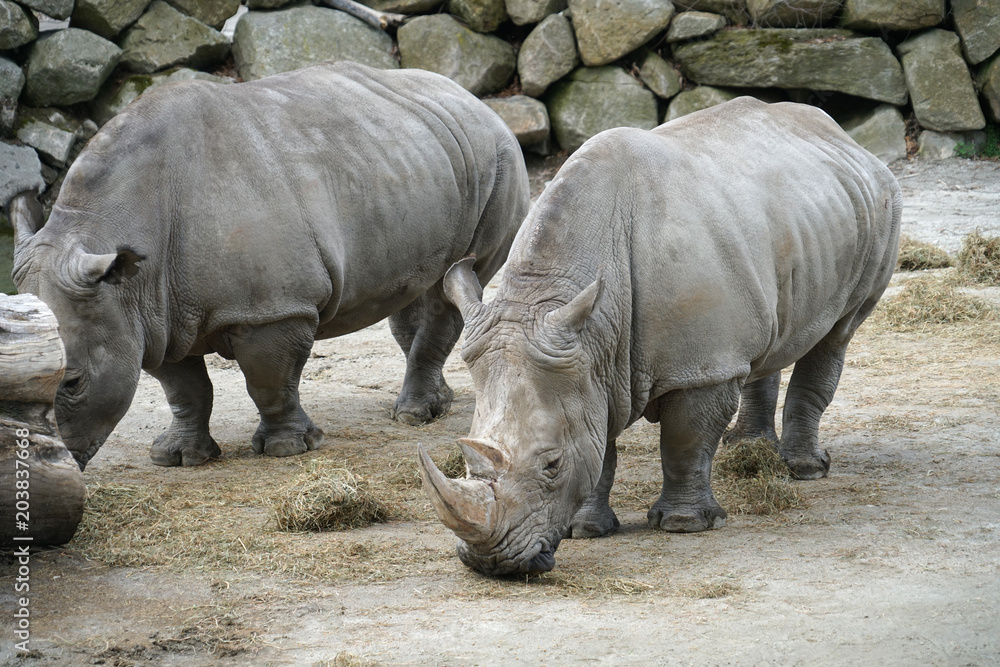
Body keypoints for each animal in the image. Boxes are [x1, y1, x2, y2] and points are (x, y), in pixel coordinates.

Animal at [7, 62, 529, 469]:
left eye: (73, 383)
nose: (48, 461)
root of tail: (476, 100)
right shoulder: (151, 312)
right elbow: (183, 389)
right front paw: (179, 457)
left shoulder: (273, 309)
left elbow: (269, 380)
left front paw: (289, 448)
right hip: (423, 155)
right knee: (419, 287)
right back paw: (437, 403)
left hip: (499, 158)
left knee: (454, 282)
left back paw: (413, 416)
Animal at [418, 97, 902, 576]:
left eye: (552, 464)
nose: (491, 564)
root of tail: (840, 136)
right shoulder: (588, 362)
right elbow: (600, 447)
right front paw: (585, 530)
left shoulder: (700, 366)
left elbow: (684, 441)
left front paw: (684, 524)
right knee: (766, 338)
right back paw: (746, 446)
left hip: (883, 204)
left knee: (837, 333)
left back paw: (805, 470)